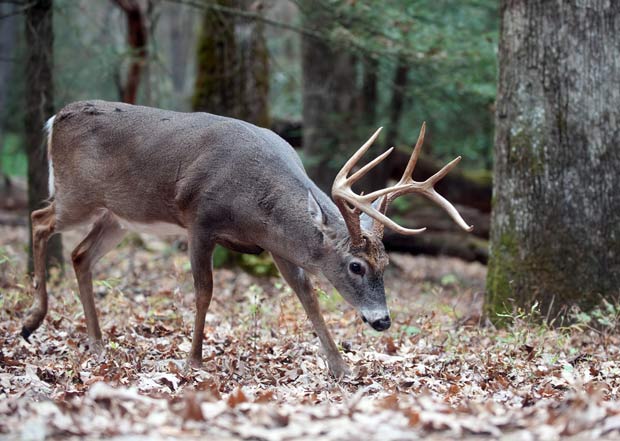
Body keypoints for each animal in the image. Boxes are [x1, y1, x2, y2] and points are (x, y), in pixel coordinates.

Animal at [21, 100, 472, 378]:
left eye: (387, 264)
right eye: (355, 265)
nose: (382, 320)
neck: (254, 205)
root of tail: (56, 117)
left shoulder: (276, 244)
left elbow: (307, 296)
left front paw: (339, 367)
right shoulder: (199, 220)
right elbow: (204, 291)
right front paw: (194, 360)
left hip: (118, 216)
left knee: (80, 255)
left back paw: (96, 344)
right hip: (77, 195)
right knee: (39, 219)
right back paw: (32, 320)